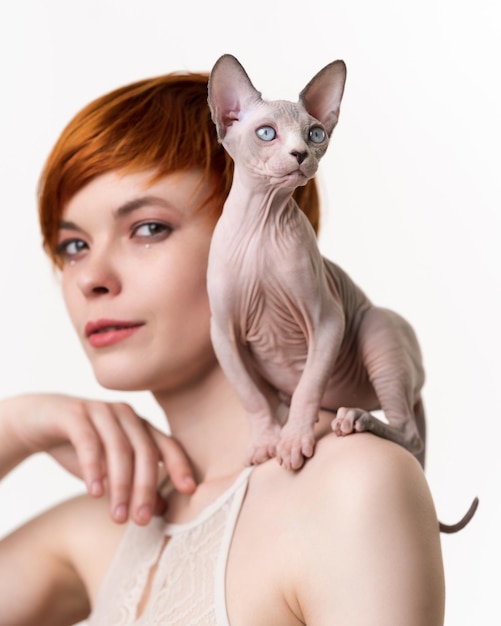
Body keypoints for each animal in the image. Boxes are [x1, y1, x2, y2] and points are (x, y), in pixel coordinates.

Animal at [206, 54, 476, 532]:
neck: (261, 225)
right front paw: (265, 440)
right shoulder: (222, 332)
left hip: (375, 326)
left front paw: (293, 439)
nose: (301, 154)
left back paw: (358, 419)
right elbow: (250, 395)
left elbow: (308, 385)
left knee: (410, 436)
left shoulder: (329, 319)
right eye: (266, 133)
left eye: (315, 134)